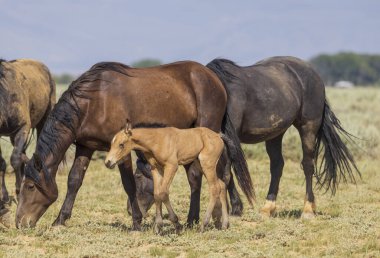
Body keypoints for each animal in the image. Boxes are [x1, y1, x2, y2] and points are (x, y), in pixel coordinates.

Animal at [0, 57, 55, 227]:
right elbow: (3, 163)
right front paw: (4, 198)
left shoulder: (23, 128)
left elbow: (15, 160)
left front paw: (19, 192)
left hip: (43, 120)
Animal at [15, 61, 252, 230]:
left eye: (30, 186)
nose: (20, 223)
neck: (94, 102)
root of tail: (213, 77)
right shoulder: (85, 147)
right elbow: (74, 181)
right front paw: (60, 219)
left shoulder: (122, 151)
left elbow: (128, 183)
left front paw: (137, 221)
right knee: (206, 176)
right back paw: (204, 219)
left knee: (210, 175)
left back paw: (204, 219)